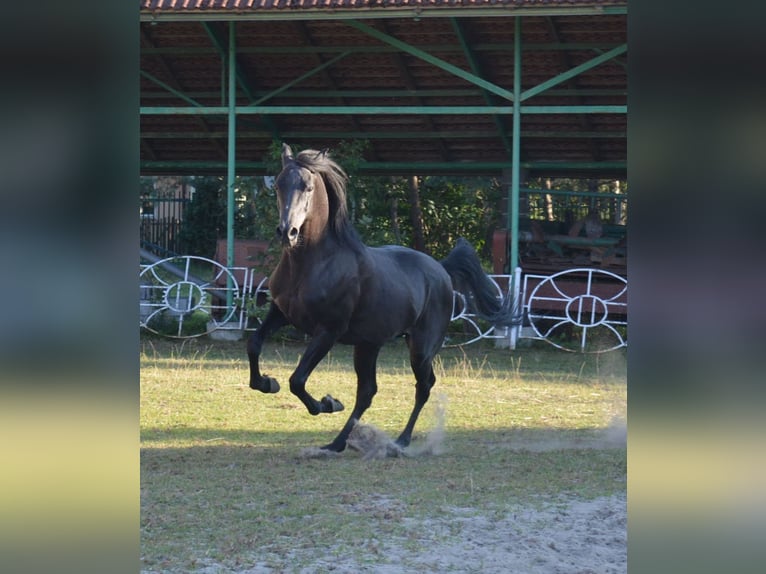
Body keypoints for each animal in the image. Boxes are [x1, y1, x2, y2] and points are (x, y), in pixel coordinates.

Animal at [249, 144, 520, 454]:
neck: (314, 263)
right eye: (278, 184)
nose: (287, 232)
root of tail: (441, 269)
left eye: (307, 187)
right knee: (368, 392)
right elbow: (254, 344)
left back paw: (400, 441)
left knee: (423, 385)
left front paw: (327, 404)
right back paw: (337, 443)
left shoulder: (328, 331)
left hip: (420, 347)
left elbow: (297, 380)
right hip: (368, 345)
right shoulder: (281, 313)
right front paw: (267, 383)